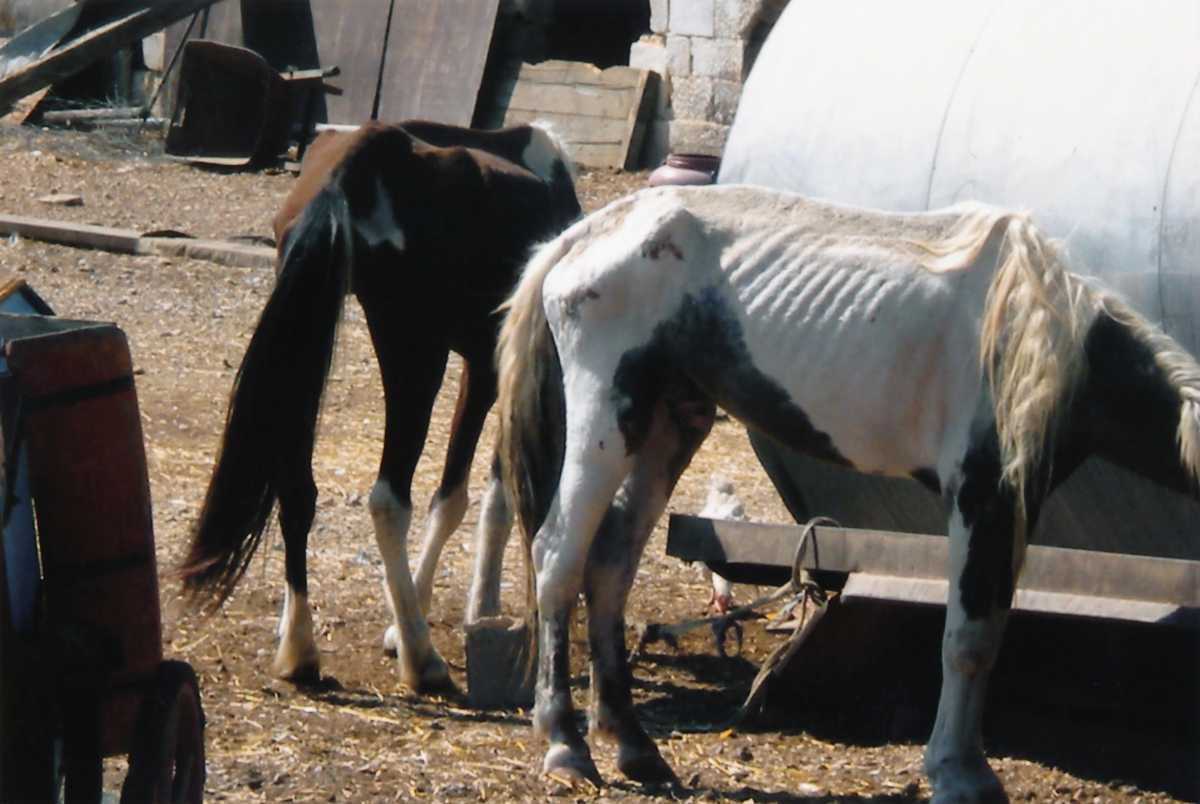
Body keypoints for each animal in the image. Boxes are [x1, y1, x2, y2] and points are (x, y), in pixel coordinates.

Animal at [178, 121, 585, 691]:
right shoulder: (489, 369)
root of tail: (357, 161)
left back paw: (298, 648)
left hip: (308, 342)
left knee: (296, 490)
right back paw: (421, 657)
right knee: (389, 500)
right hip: (414, 353)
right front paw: (457, 611)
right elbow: (473, 497)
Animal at [494, 184, 1200, 804]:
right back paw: (565, 746)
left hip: (671, 425)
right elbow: (968, 642)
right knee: (558, 557)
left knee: (610, 565)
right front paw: (959, 774)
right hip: (609, 423)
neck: (1044, 334)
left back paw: (635, 747)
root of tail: (580, 237)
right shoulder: (983, 496)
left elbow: (989, 633)